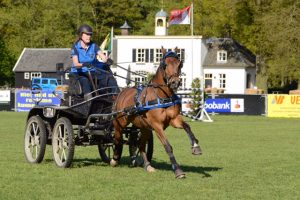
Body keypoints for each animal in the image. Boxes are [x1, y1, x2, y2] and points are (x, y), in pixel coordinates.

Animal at [110, 48, 202, 178]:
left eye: (180, 64)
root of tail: (123, 91)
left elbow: (187, 126)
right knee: (117, 139)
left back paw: (148, 165)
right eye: (165, 64)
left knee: (141, 145)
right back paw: (114, 159)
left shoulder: (174, 119)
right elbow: (168, 146)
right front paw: (178, 170)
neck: (162, 96)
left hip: (145, 128)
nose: (175, 82)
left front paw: (196, 146)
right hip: (119, 122)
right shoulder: (157, 126)